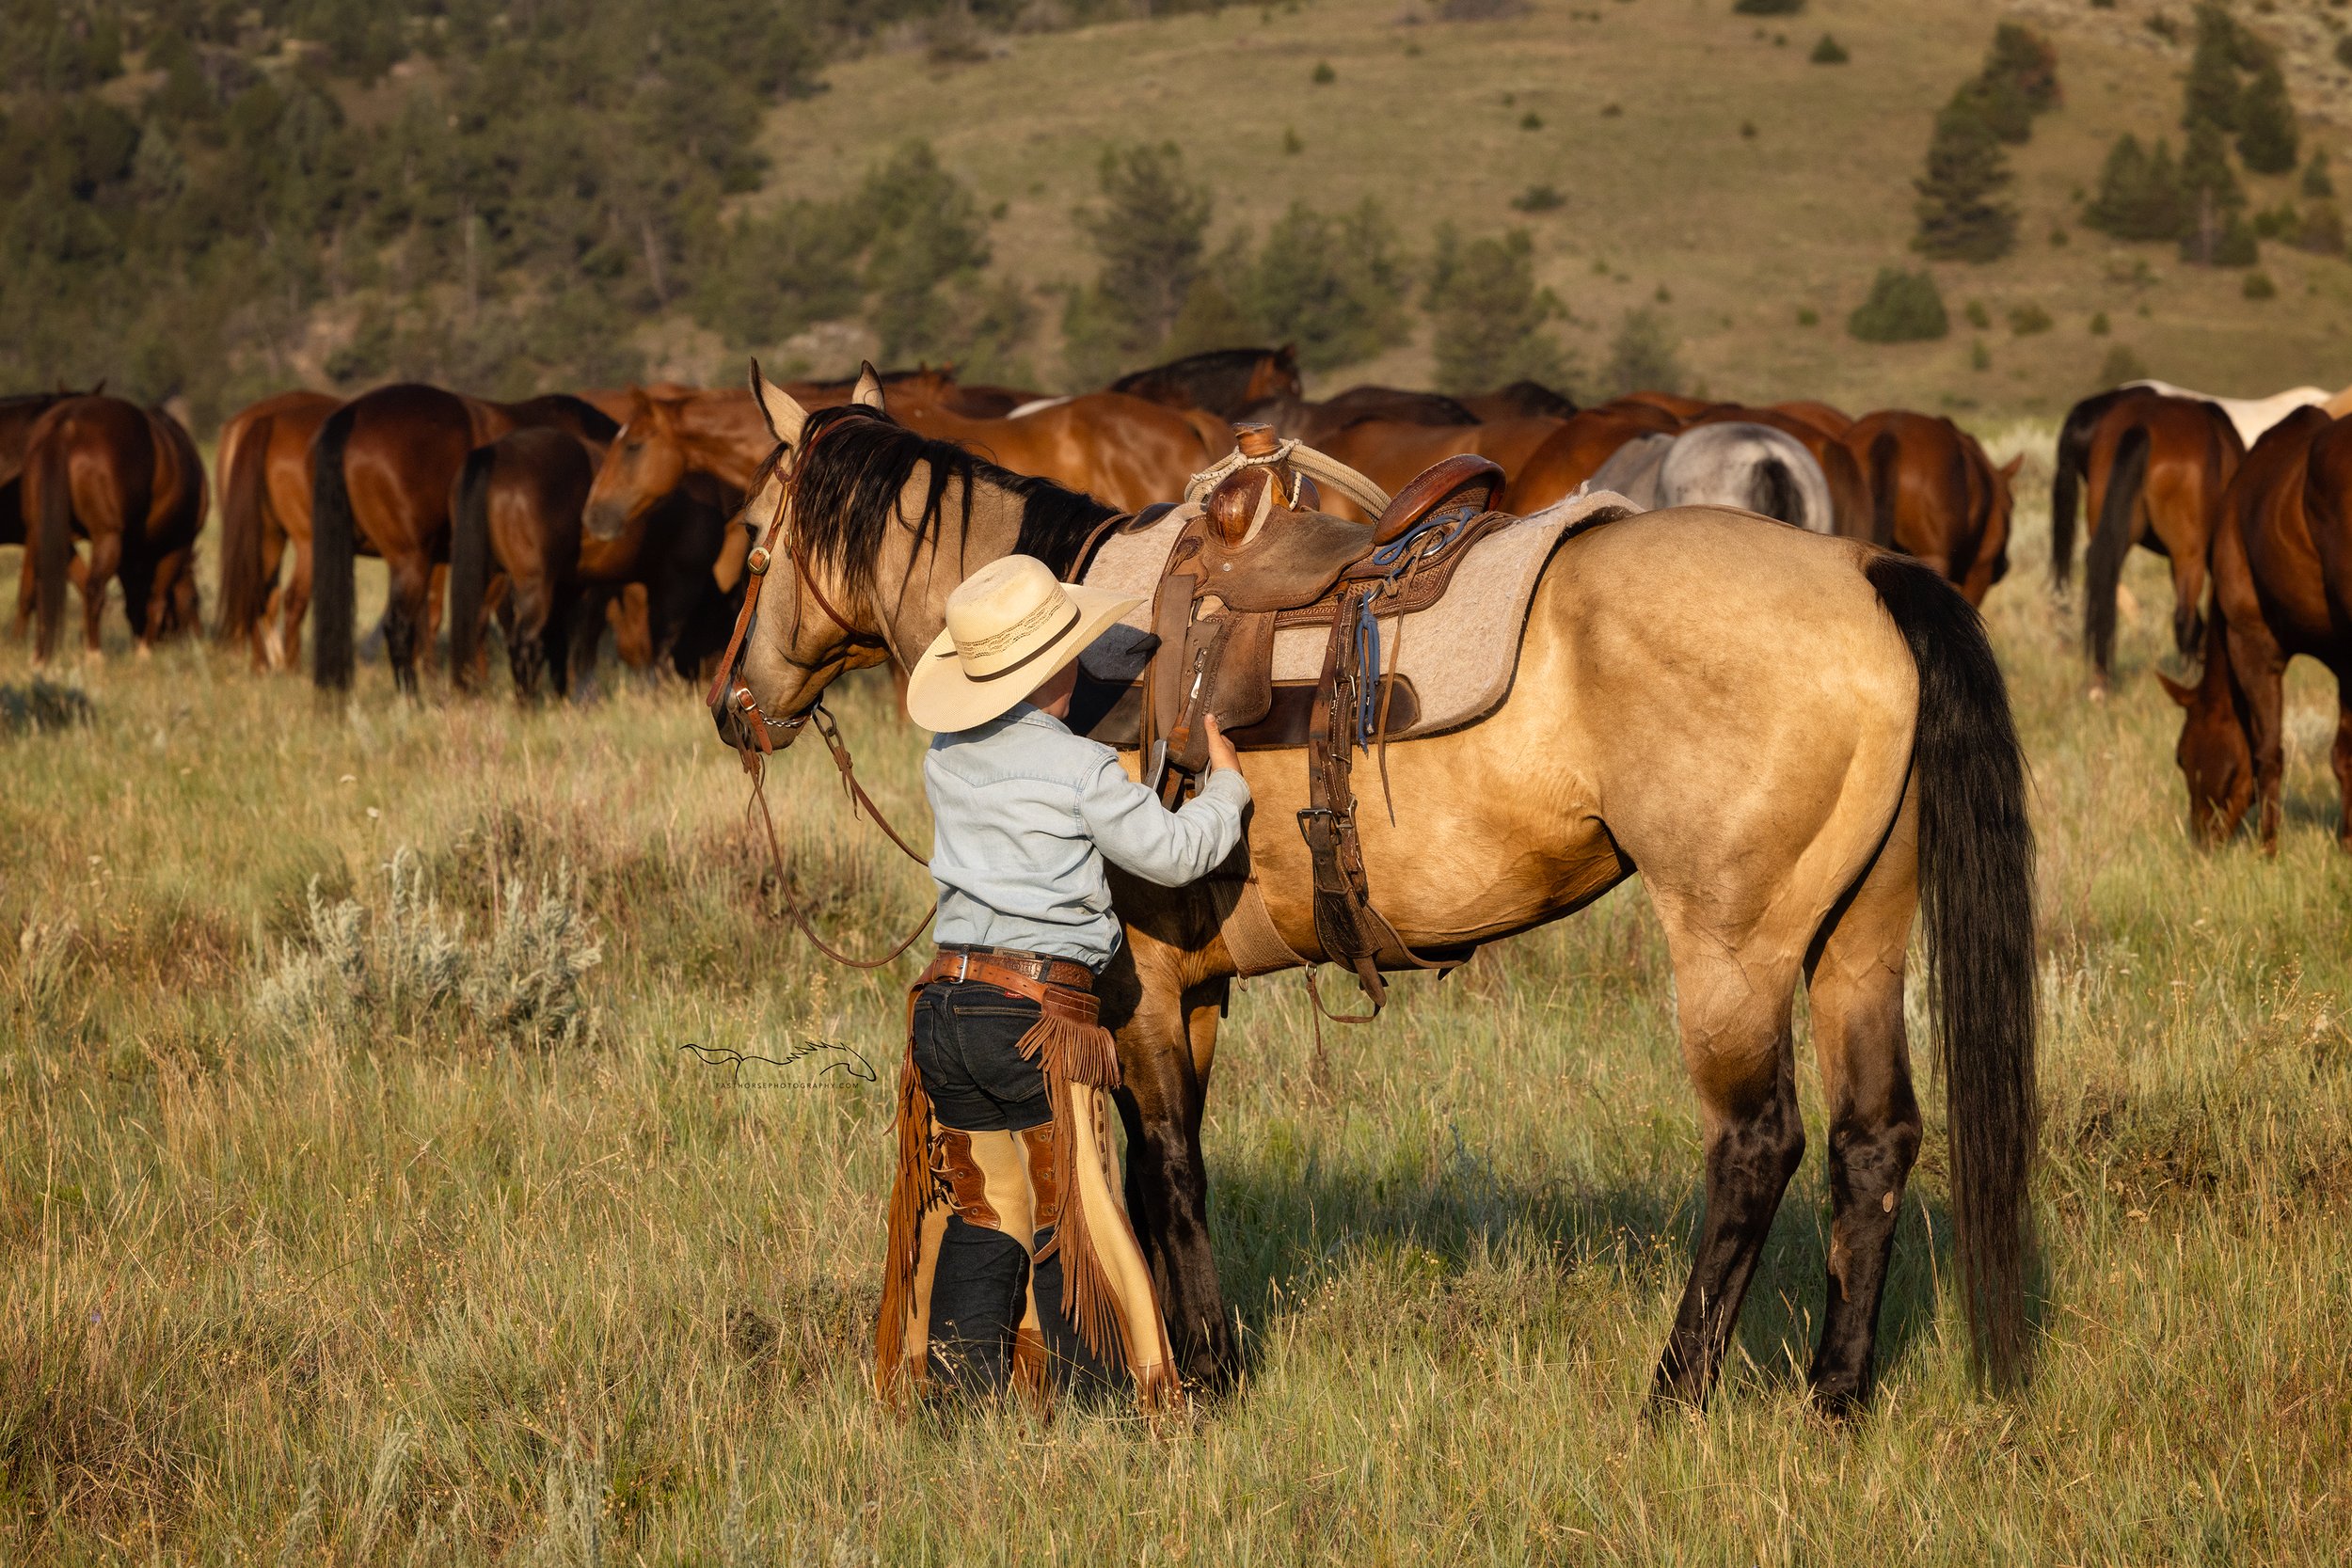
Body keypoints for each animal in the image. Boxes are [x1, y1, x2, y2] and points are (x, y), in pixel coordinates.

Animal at [24, 395, 208, 661]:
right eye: (195, 600)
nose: (200, 639)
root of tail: (67, 425)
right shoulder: (177, 545)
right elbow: (156, 598)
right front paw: (144, 651)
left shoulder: (130, 553)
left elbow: (135, 599)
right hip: (107, 538)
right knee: (94, 589)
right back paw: (94, 655)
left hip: (47, 534)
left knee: (46, 589)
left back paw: (40, 656)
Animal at [2157, 407, 2351, 850]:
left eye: (2181, 756)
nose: (2202, 840)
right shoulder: (2342, 659)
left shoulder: (2252, 644)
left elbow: (2268, 752)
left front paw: (2269, 847)